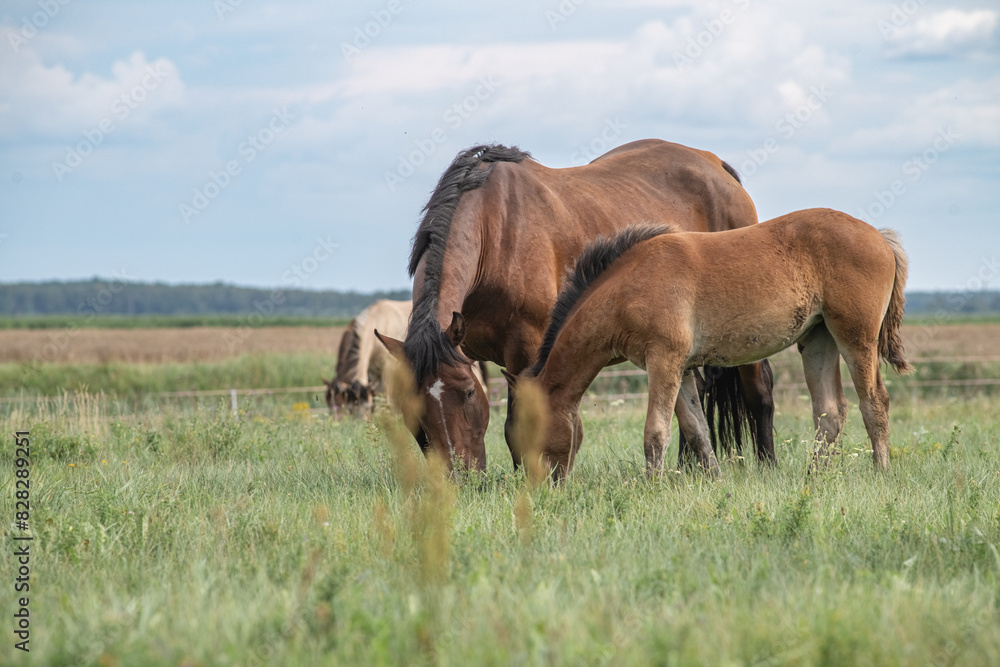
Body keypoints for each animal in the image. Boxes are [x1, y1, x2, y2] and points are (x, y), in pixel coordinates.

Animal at [376, 139, 776, 473]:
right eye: (412, 406)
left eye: (469, 392)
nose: (462, 476)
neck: (496, 231)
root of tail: (716, 166)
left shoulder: (526, 350)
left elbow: (518, 425)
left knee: (759, 392)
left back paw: (767, 466)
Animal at [504, 208, 911, 481]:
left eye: (529, 430)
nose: (541, 486)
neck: (629, 285)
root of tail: (878, 235)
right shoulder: (680, 368)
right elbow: (697, 430)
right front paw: (715, 480)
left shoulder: (663, 360)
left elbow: (656, 432)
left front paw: (650, 488)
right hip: (818, 338)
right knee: (830, 411)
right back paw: (814, 476)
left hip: (855, 337)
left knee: (874, 402)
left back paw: (881, 472)